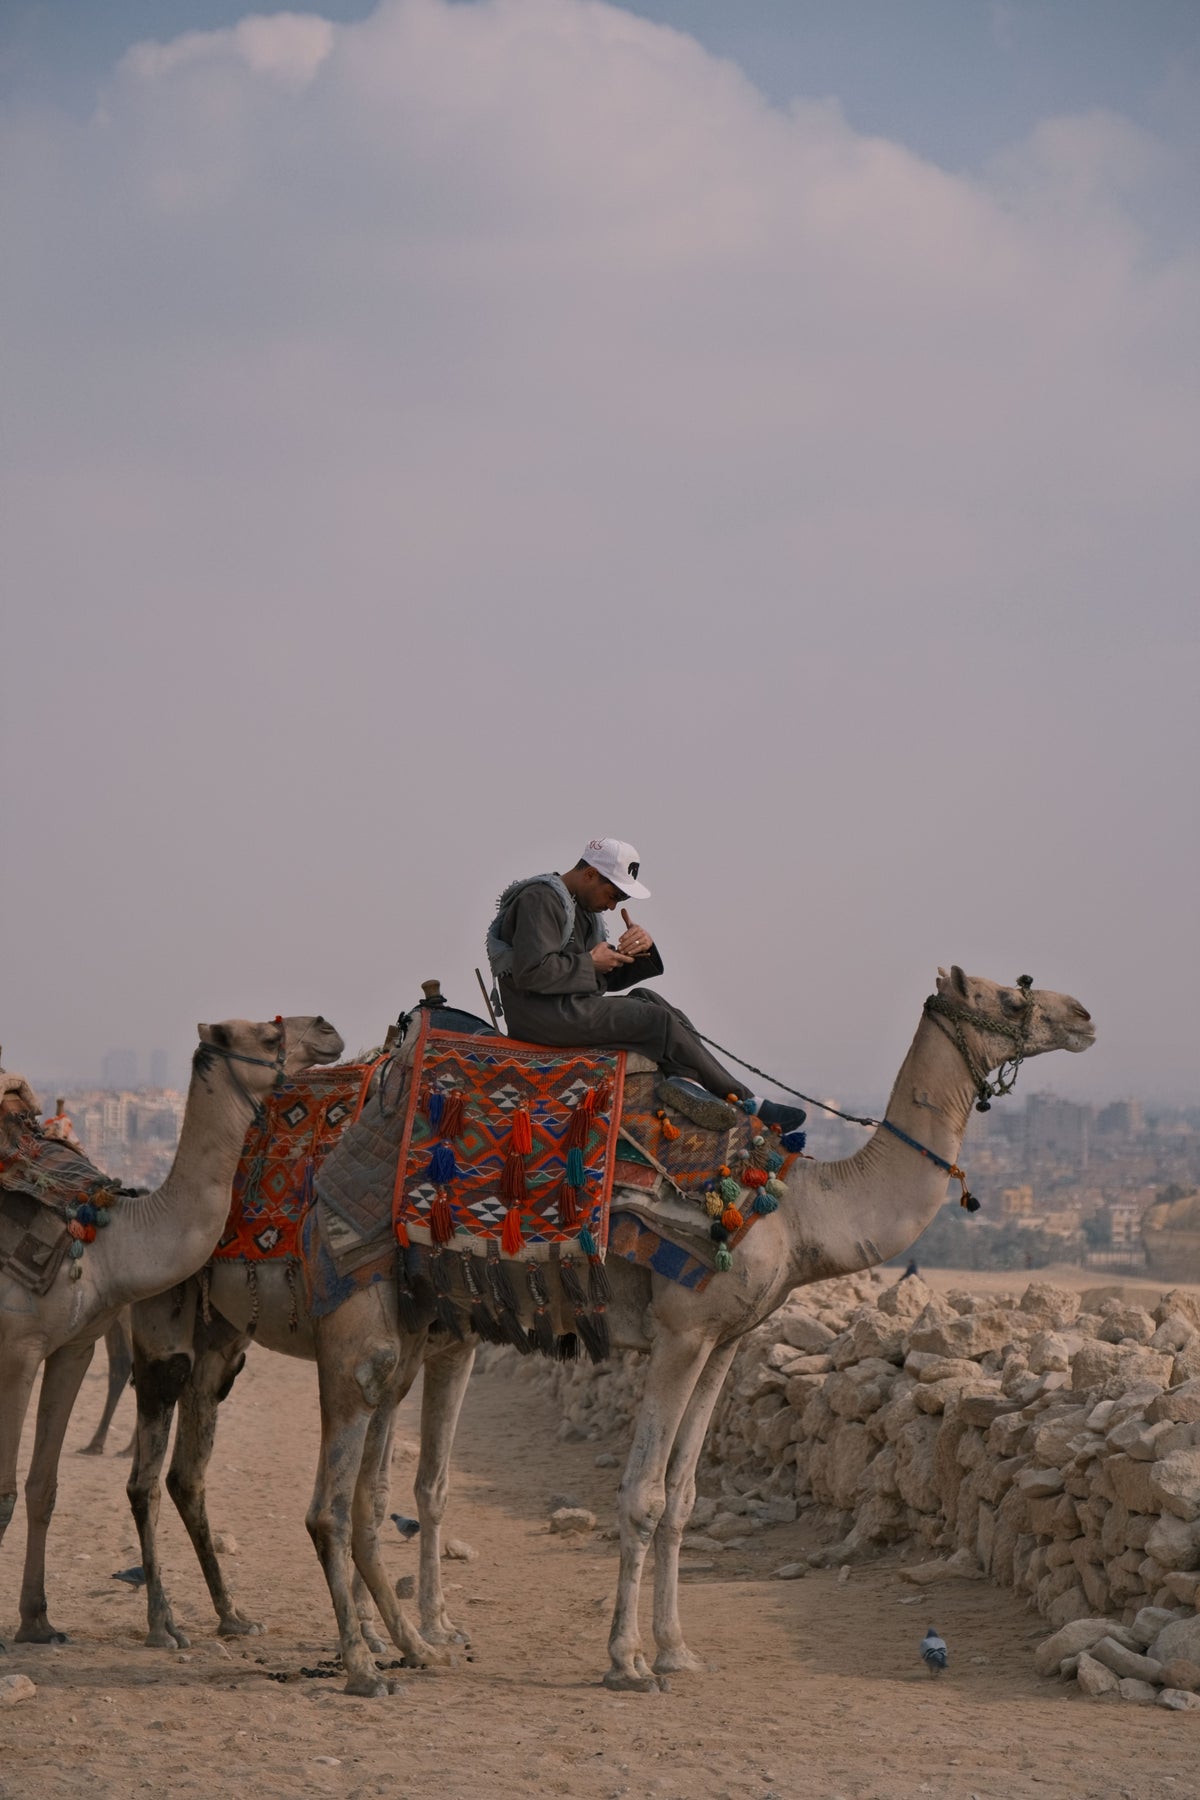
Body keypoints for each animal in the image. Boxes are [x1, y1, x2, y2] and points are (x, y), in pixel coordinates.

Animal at [0, 1013, 344, 1647]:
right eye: (265, 1035)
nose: (328, 1028)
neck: (113, 1239)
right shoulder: (19, 1350)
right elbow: (6, 1492)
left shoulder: (73, 1347)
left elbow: (43, 1487)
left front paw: (37, 1622)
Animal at [301, 966, 1095, 1694]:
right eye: (1010, 997)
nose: (1083, 1015)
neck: (800, 1211)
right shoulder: (679, 1334)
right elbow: (642, 1495)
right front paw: (626, 1661)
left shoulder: (726, 1340)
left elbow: (682, 1499)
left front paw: (677, 1651)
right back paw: (368, 1654)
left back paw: (395, 1639)